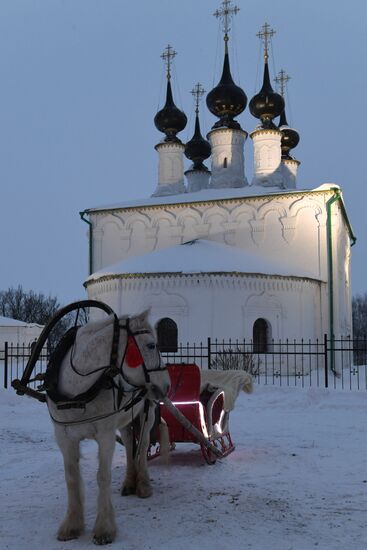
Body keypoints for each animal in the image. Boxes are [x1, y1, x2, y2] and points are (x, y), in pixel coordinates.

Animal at [46, 312, 171, 544]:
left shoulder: (105, 435)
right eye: (151, 345)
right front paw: (72, 524)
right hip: (124, 419)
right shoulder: (64, 437)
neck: (79, 393)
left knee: (142, 447)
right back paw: (130, 481)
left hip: (147, 411)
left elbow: (102, 476)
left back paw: (143, 484)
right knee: (130, 441)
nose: (166, 385)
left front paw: (104, 527)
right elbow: (71, 477)